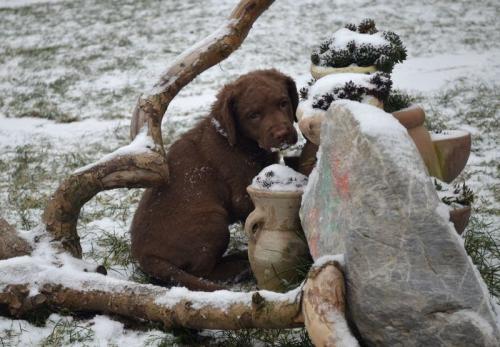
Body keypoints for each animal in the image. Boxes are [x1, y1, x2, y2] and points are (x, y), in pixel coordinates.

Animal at [131, 69, 298, 292]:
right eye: (253, 115)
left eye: (283, 103)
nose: (283, 134)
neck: (240, 142)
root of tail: (146, 257)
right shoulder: (243, 196)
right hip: (214, 220)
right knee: (202, 271)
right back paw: (239, 268)